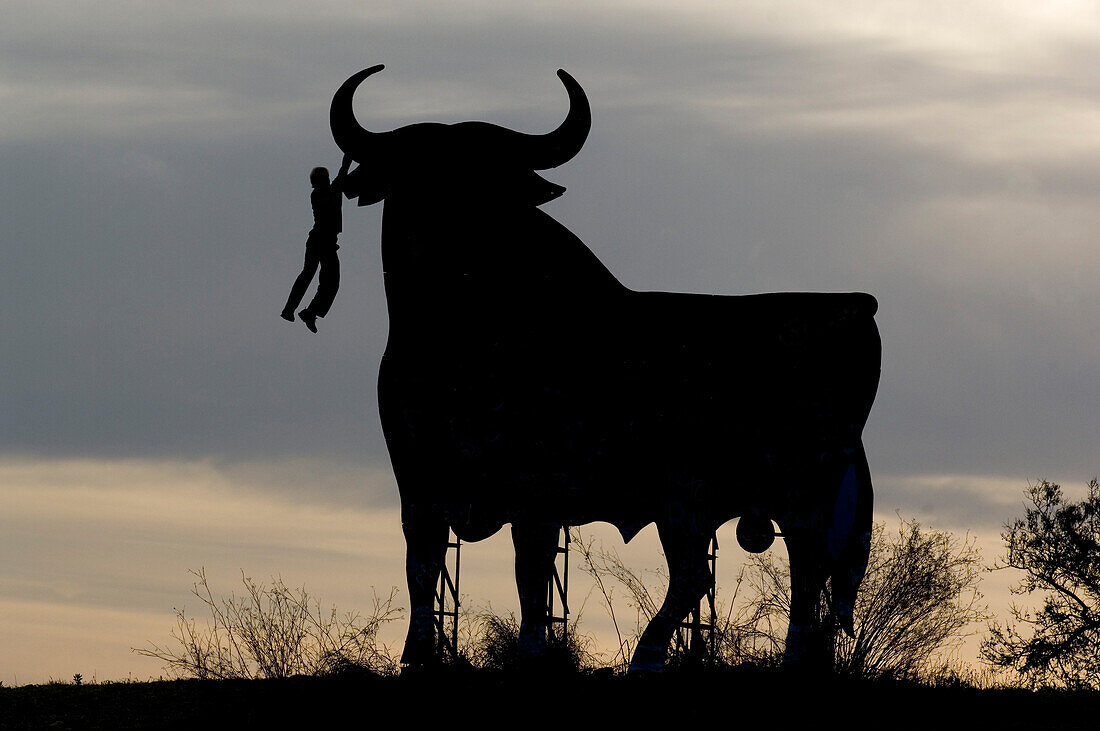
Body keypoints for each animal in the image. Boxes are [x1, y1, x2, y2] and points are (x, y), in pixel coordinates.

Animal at [330, 65, 880, 668]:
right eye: (416, 172)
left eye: (490, 178)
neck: (459, 334)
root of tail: (859, 306)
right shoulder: (418, 480)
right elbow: (422, 567)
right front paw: (419, 655)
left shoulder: (538, 488)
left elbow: (530, 573)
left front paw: (530, 653)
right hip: (698, 502)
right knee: (710, 573)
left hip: (792, 490)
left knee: (793, 569)